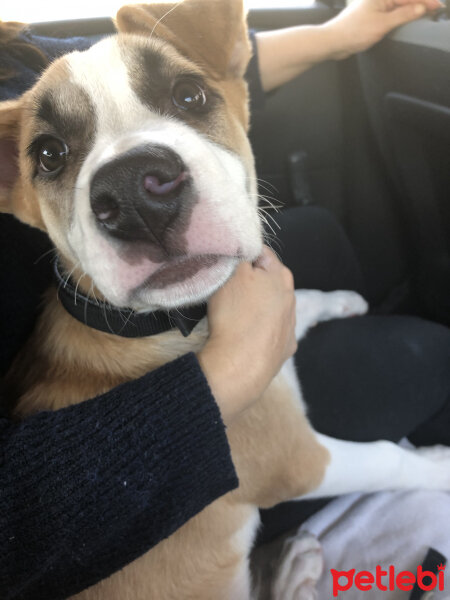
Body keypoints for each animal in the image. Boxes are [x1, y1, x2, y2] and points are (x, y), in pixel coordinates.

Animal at [0, 1, 450, 600]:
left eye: (190, 95)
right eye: (50, 155)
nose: (135, 194)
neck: (186, 321)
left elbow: (299, 300)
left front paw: (340, 301)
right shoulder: (298, 459)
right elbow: (390, 459)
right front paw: (442, 466)